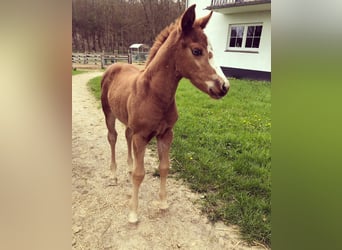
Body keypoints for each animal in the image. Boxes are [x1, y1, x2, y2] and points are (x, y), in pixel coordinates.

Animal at [100, 4, 228, 223]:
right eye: (197, 51)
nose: (224, 86)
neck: (153, 94)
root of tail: (114, 64)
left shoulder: (166, 134)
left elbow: (164, 167)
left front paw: (163, 203)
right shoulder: (141, 136)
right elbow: (140, 174)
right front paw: (133, 213)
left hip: (128, 122)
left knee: (126, 136)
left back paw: (127, 167)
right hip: (108, 113)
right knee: (113, 138)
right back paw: (114, 174)